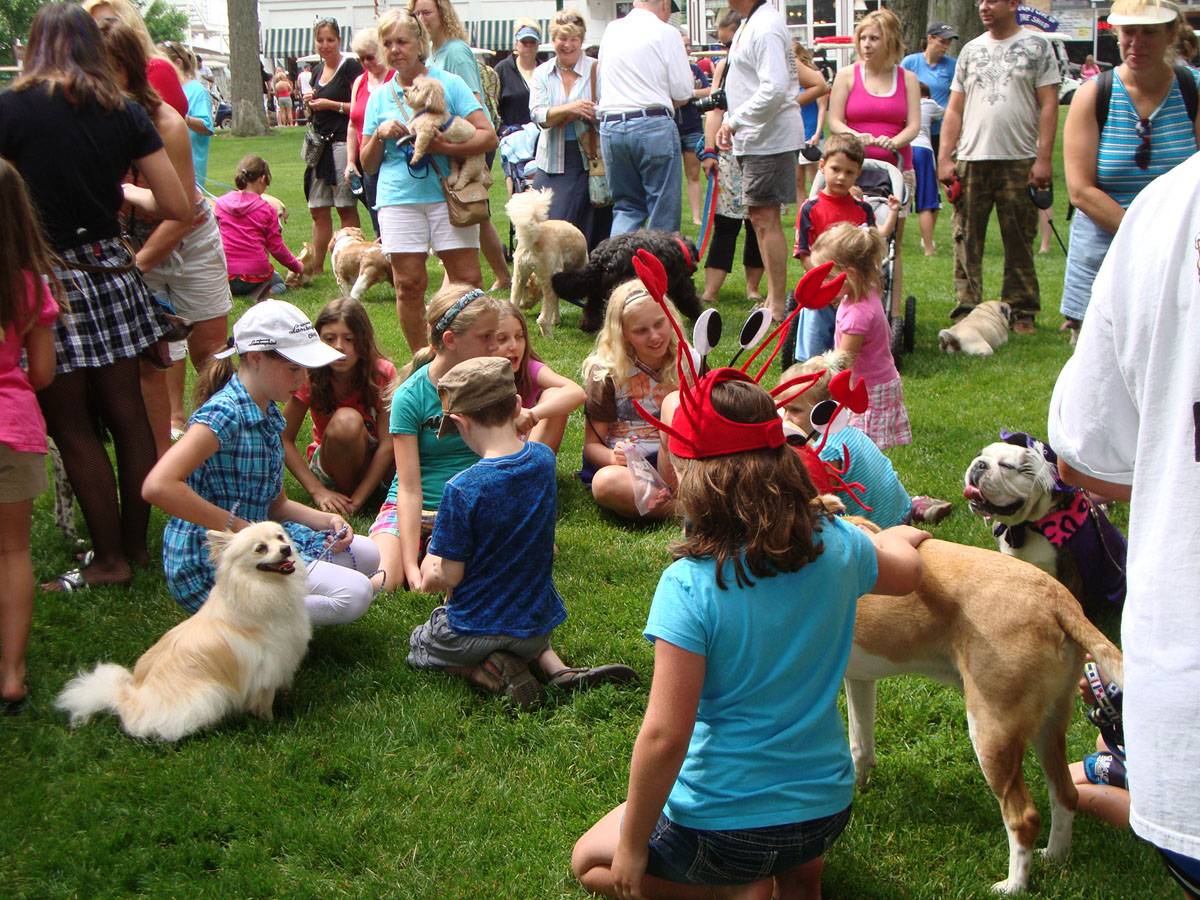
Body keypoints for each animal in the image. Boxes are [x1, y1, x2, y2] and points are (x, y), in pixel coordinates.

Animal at [56, 525, 312, 744]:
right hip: (210, 694)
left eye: (280, 537)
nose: (286, 549)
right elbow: (264, 701)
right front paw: (271, 723)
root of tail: (130, 701)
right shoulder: (266, 666)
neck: (261, 587)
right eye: (260, 548)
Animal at [504, 187, 588, 338]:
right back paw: (549, 336)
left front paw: (557, 320)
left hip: (519, 275)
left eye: (527, 290)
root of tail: (534, 241)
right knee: (542, 320)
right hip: (549, 277)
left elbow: (555, 302)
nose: (523, 305)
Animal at [547, 229, 700, 336]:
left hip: (597, 290)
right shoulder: (682, 286)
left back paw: (588, 326)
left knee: (591, 308)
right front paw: (697, 317)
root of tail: (602, 259)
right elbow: (691, 302)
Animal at [849, 535, 1118, 897]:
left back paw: (1013, 886)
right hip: (1049, 727)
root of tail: (1060, 601)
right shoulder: (860, 678)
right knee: (1065, 794)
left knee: (1024, 817)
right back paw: (1054, 857)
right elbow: (860, 747)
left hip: (990, 732)